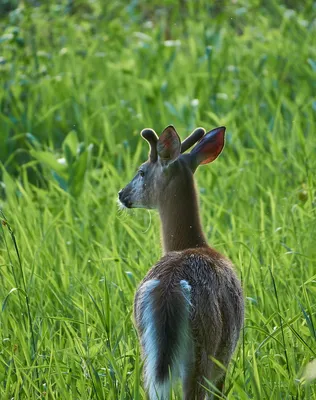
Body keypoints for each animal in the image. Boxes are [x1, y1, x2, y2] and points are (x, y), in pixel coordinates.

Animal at [118, 123, 244, 398]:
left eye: (141, 171)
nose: (122, 194)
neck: (192, 244)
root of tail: (170, 288)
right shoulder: (225, 357)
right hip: (202, 349)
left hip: (148, 349)